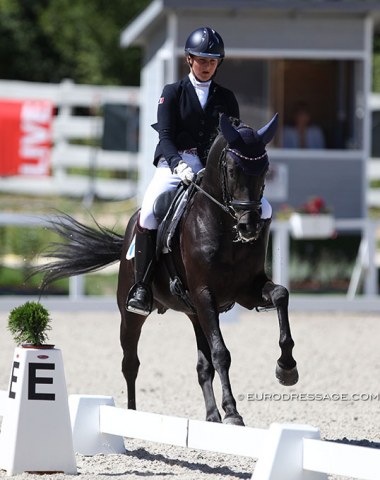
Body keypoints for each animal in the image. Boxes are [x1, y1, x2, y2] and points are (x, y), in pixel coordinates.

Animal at [39, 114, 300, 426]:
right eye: (232, 169)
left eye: (265, 168)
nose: (249, 226)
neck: (225, 228)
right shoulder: (205, 293)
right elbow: (221, 353)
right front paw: (233, 413)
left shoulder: (246, 290)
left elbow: (281, 295)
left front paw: (287, 368)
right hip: (133, 312)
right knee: (131, 362)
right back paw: (131, 415)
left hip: (195, 313)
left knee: (202, 366)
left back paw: (212, 416)